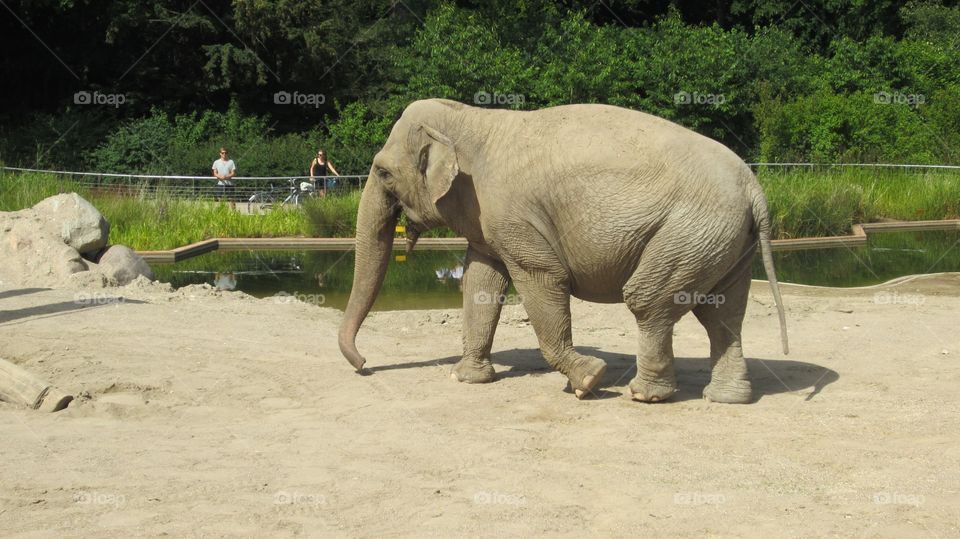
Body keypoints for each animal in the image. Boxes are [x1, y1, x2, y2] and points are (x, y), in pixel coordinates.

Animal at [338, 98, 788, 404]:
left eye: (382, 172)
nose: (363, 365)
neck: (473, 117)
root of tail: (754, 189)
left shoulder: (513, 214)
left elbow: (541, 277)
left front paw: (589, 381)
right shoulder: (489, 220)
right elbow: (481, 282)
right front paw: (467, 379)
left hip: (690, 231)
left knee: (648, 301)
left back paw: (644, 395)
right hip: (724, 241)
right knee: (722, 312)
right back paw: (727, 398)